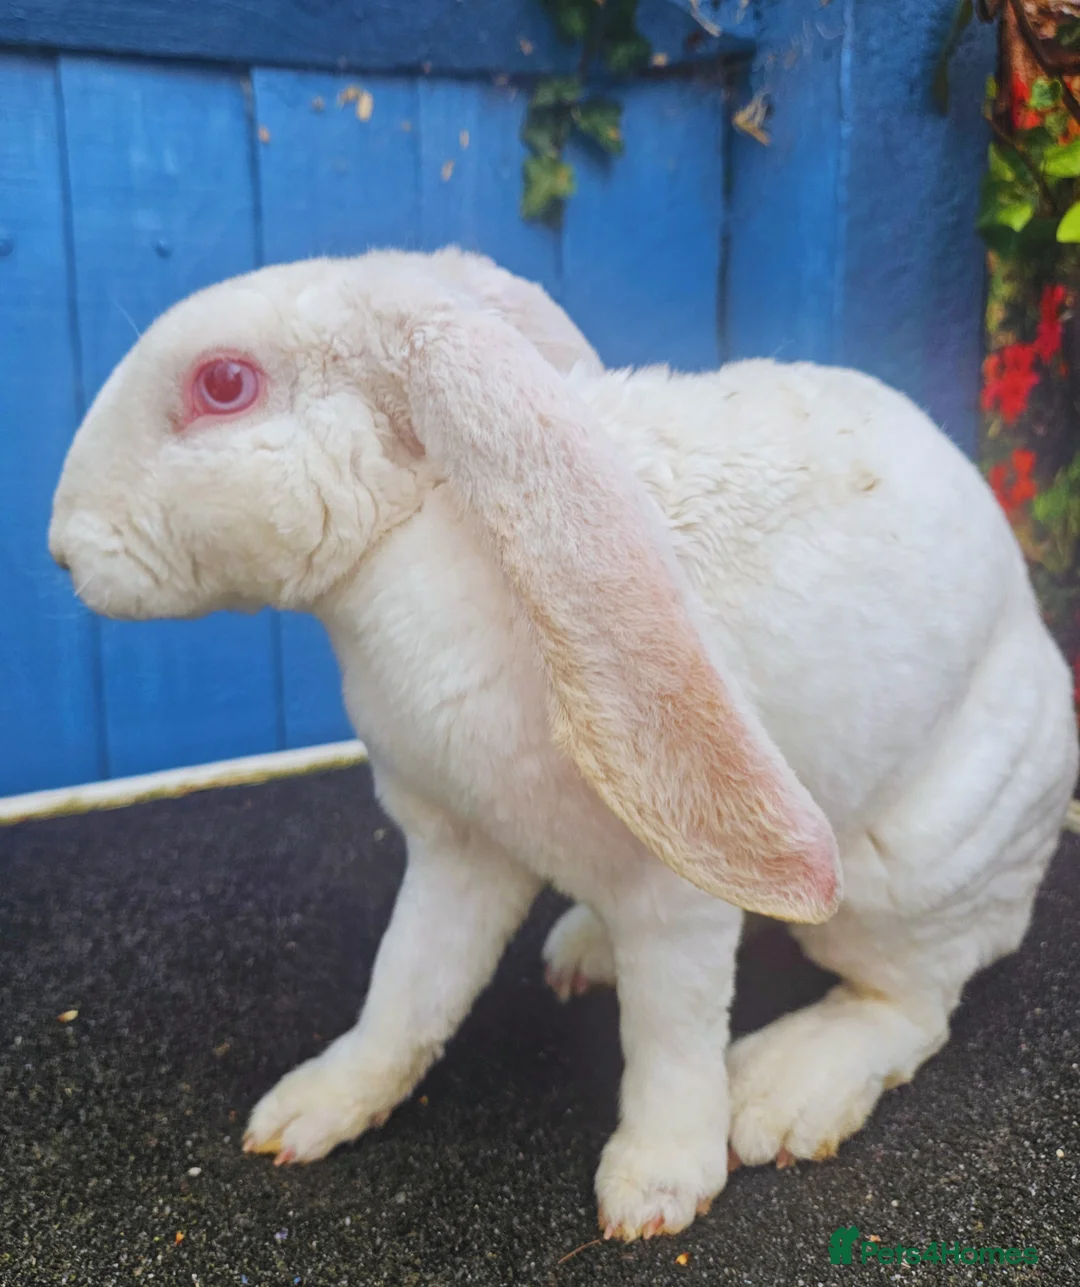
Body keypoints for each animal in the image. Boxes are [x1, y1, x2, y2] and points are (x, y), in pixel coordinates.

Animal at [48, 246, 1078, 1242]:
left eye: (224, 383)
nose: (62, 545)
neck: (425, 540)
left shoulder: (674, 901)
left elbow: (670, 1038)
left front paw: (657, 1186)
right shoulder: (457, 851)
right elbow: (408, 987)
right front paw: (313, 1109)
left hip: (915, 873)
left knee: (912, 1002)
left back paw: (784, 1091)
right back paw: (585, 951)